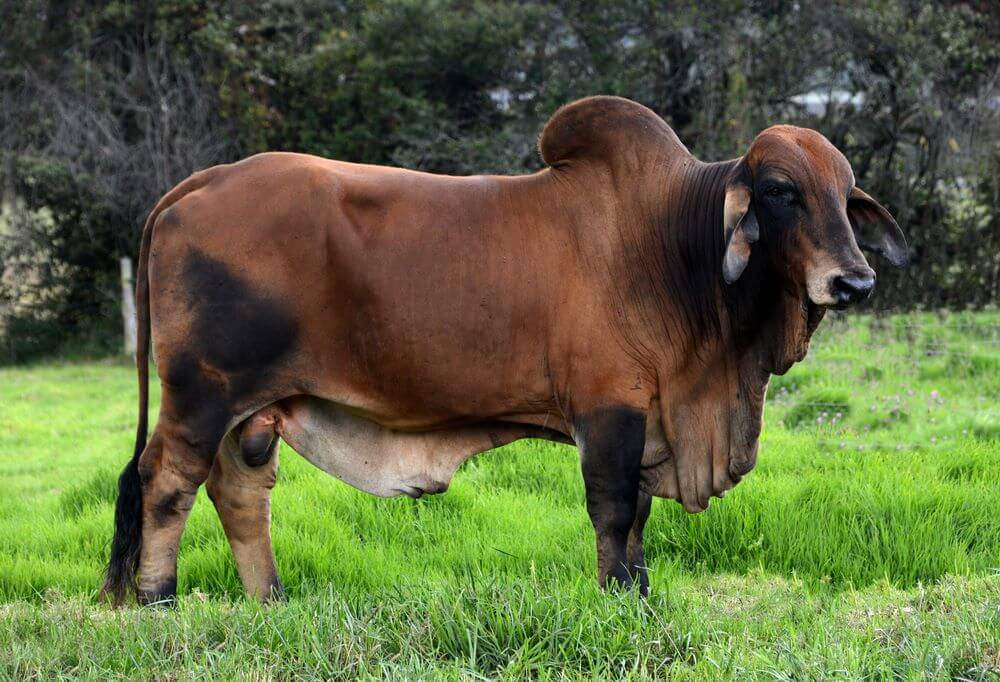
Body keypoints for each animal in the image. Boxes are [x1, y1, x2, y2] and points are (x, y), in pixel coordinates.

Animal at [101, 94, 908, 600]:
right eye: (780, 191)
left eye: (846, 196)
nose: (854, 280)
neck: (671, 245)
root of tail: (198, 184)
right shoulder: (609, 408)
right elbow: (613, 508)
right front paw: (618, 598)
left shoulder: (650, 420)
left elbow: (639, 520)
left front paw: (642, 593)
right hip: (201, 394)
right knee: (167, 482)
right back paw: (157, 599)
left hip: (254, 409)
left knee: (240, 492)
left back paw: (269, 600)